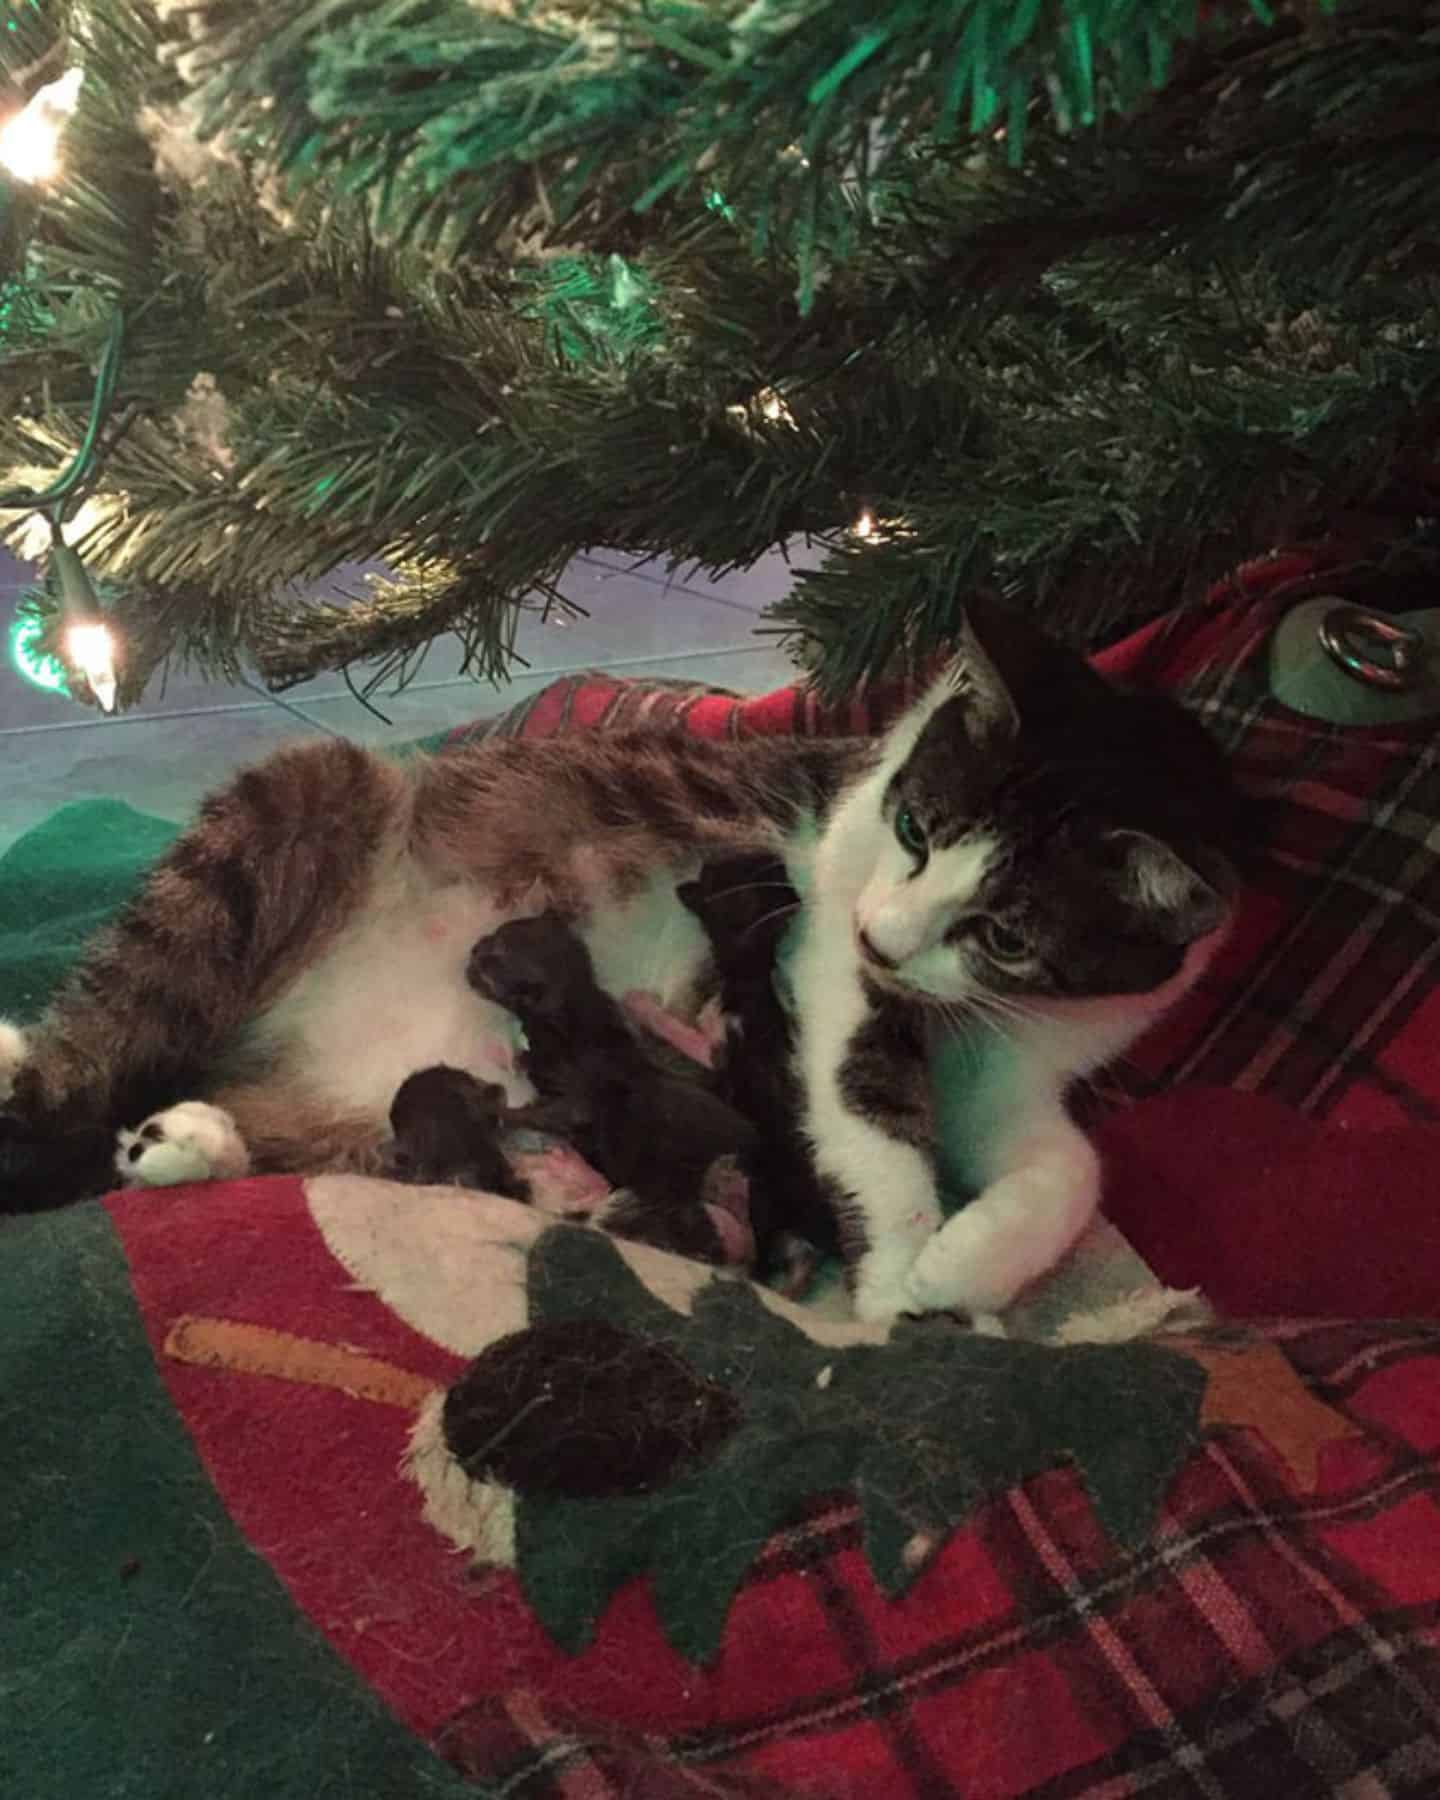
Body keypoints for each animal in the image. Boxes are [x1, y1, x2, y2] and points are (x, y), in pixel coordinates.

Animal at [0, 604, 1245, 1324]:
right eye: (914, 829)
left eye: (1009, 934)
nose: (886, 937)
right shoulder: (825, 942)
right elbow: (868, 1104)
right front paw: (898, 1280)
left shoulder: (1026, 1056)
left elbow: (1071, 1169)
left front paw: (967, 1265)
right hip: (300, 796)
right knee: (106, 1042)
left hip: (372, 1114)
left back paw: (186, 1142)